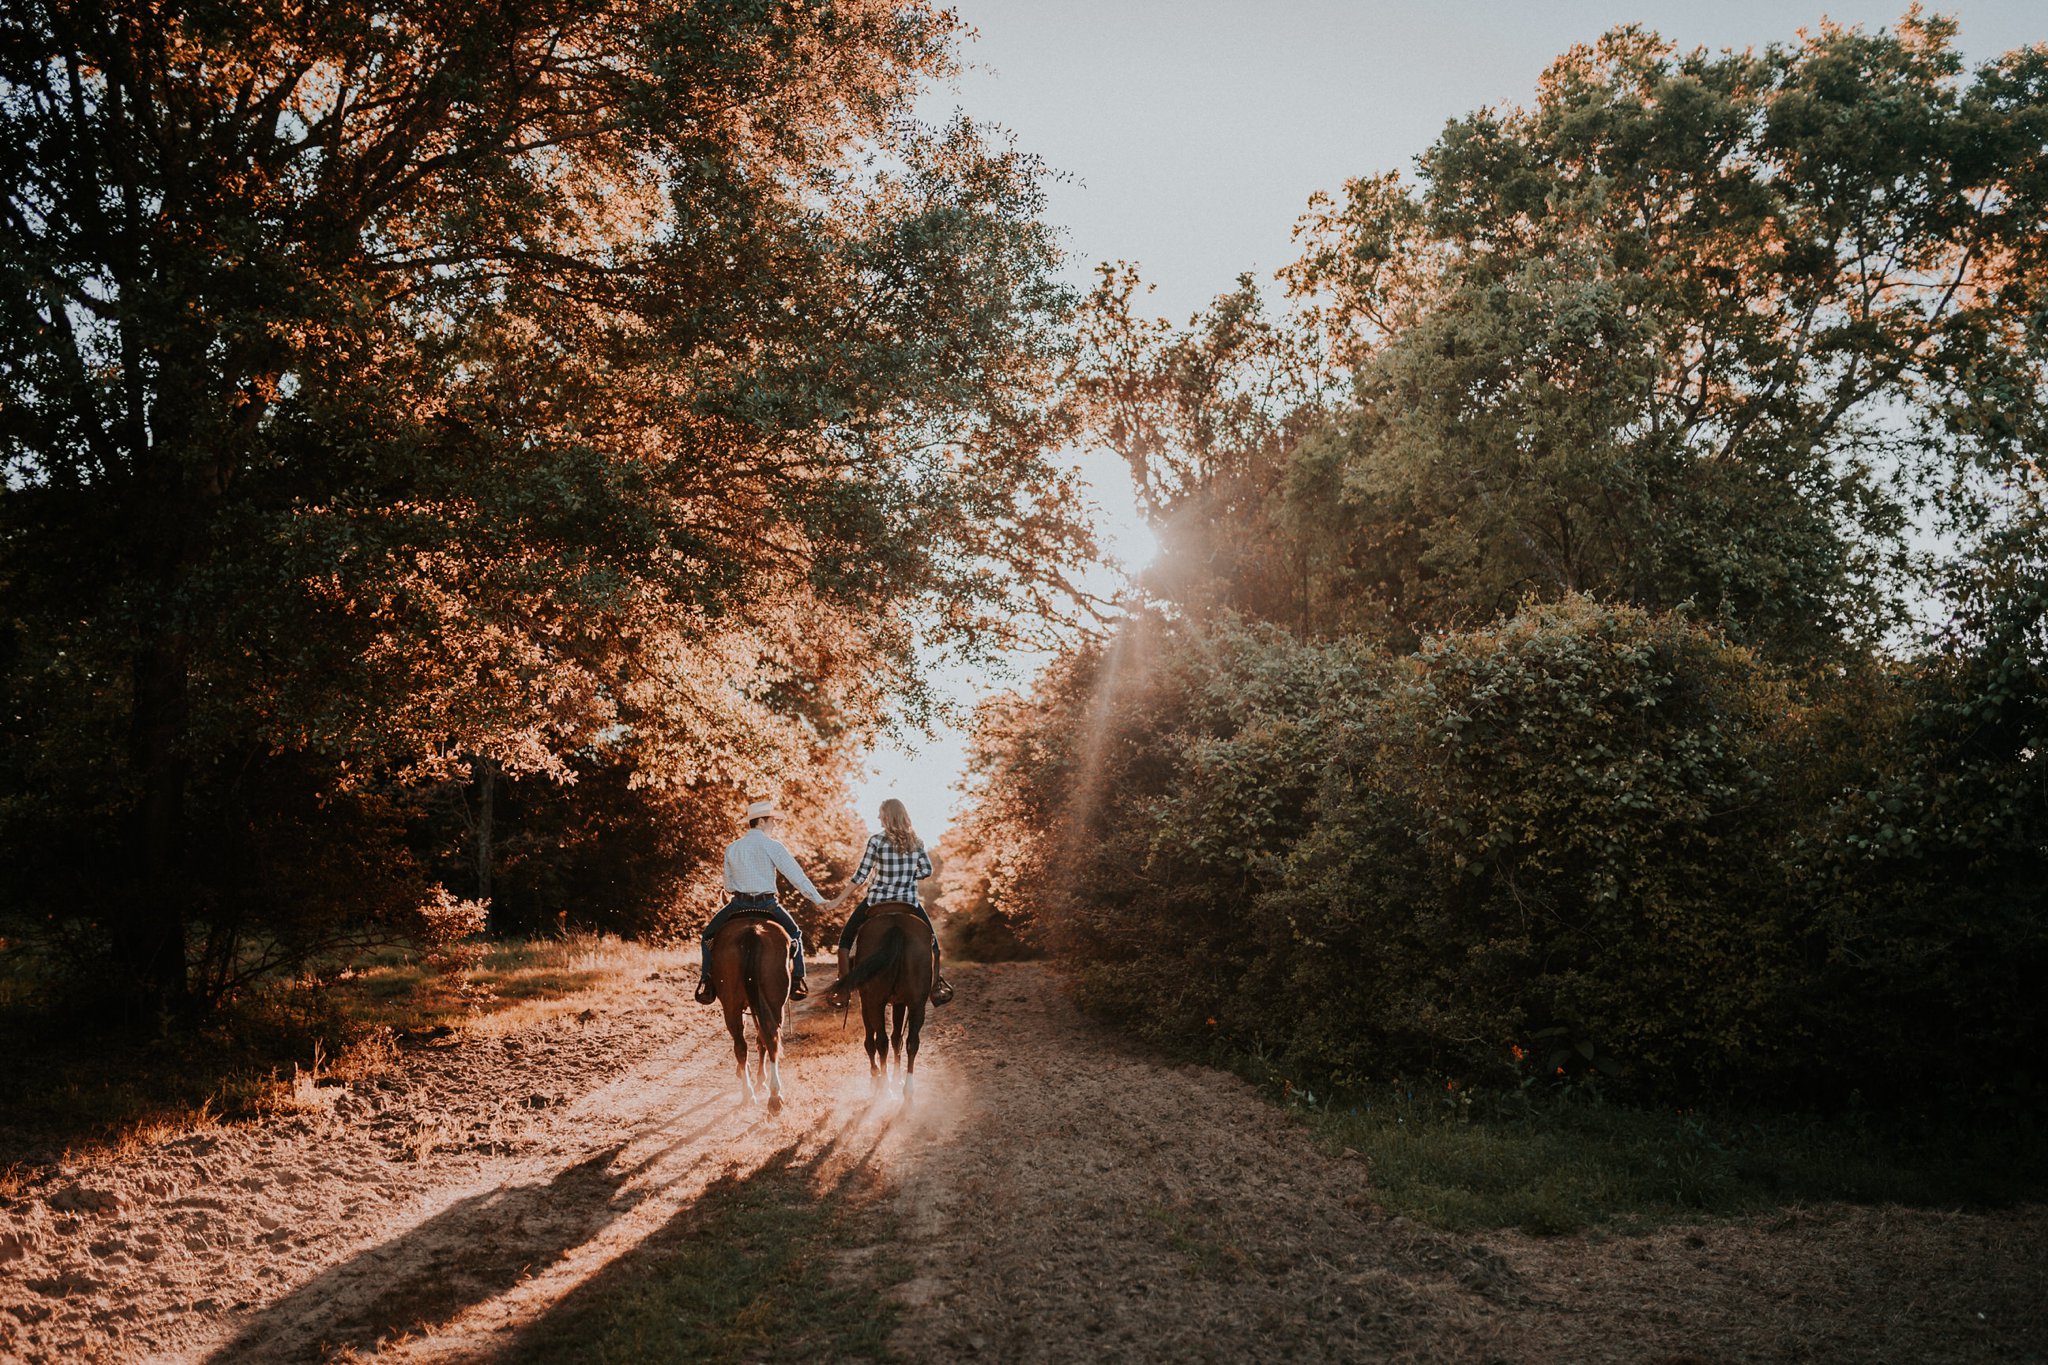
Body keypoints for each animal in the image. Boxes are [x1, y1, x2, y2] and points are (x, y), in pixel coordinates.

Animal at [712, 912, 790, 1113]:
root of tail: (752, 932)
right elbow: (761, 1039)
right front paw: (760, 1080)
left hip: (732, 1005)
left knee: (742, 1045)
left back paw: (749, 1093)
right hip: (774, 1003)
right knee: (770, 1039)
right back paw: (774, 1095)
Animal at [823, 908, 937, 1096]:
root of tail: (896, 927)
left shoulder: (866, 1002)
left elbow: (871, 1041)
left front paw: (876, 1075)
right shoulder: (900, 1002)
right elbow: (897, 1038)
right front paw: (897, 1079)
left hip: (875, 1002)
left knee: (880, 1041)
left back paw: (884, 1087)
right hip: (917, 1004)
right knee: (911, 1041)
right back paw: (907, 1089)